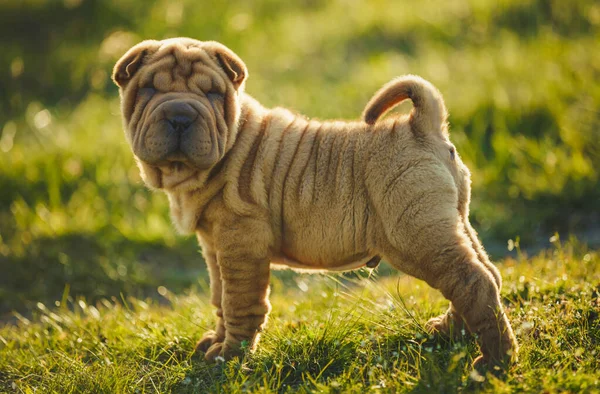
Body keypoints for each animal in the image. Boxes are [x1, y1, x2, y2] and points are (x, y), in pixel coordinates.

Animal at [115, 37, 516, 372]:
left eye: (213, 93)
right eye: (149, 89)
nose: (180, 115)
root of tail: (420, 125)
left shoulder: (241, 244)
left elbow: (239, 303)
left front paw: (229, 358)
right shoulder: (214, 247)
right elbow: (219, 298)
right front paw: (215, 342)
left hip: (417, 234)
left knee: (473, 281)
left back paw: (495, 361)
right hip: (451, 223)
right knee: (485, 274)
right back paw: (449, 333)